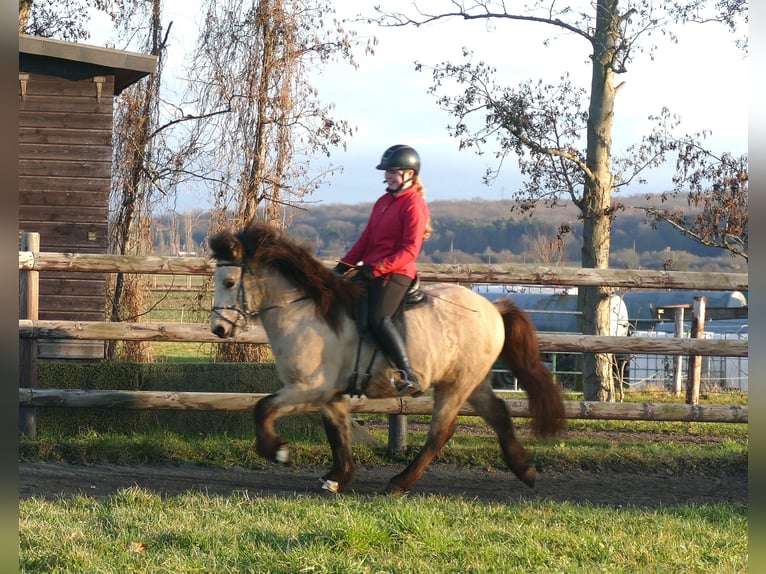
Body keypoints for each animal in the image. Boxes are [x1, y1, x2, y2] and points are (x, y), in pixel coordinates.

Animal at [209, 221, 565, 495]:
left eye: (229, 281)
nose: (218, 329)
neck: (305, 311)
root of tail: (492, 307)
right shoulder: (329, 394)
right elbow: (338, 433)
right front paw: (338, 477)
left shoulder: (309, 388)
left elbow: (262, 408)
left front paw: (278, 451)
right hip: (470, 382)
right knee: (499, 414)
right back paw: (525, 470)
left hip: (456, 386)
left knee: (441, 432)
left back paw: (400, 482)